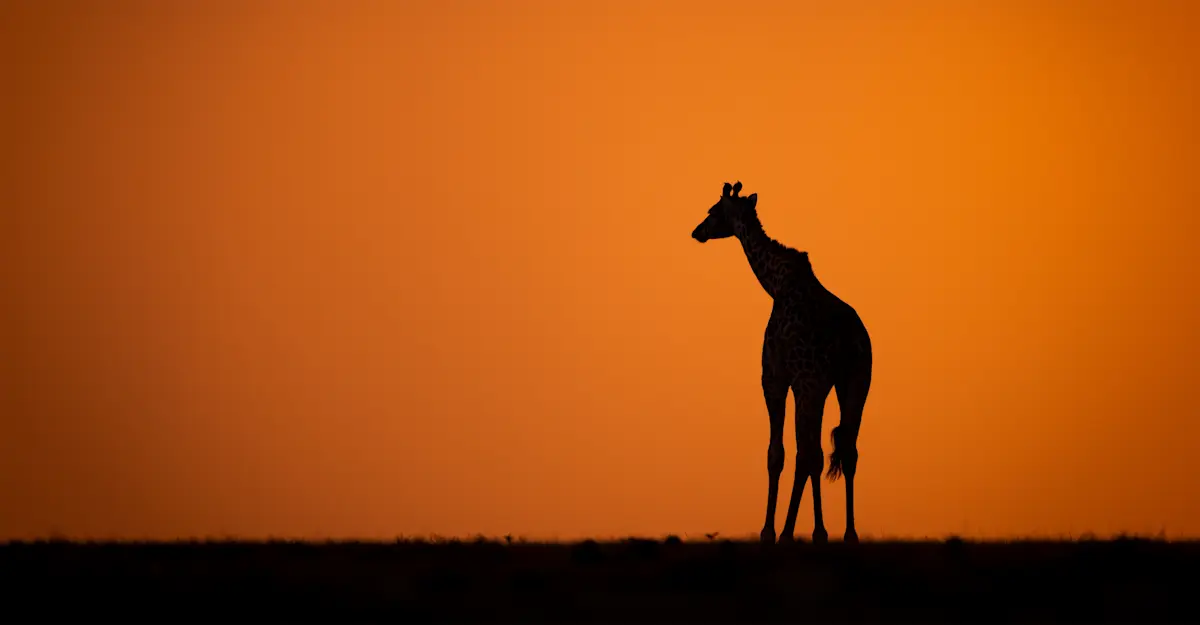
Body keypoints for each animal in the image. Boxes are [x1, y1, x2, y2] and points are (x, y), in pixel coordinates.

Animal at [691, 181, 873, 544]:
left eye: (712, 211)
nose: (696, 231)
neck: (774, 284)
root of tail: (853, 341)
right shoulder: (812, 383)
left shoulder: (775, 378)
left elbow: (776, 454)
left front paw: (768, 531)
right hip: (856, 382)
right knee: (846, 450)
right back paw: (847, 534)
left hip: (812, 383)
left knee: (809, 453)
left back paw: (798, 532)